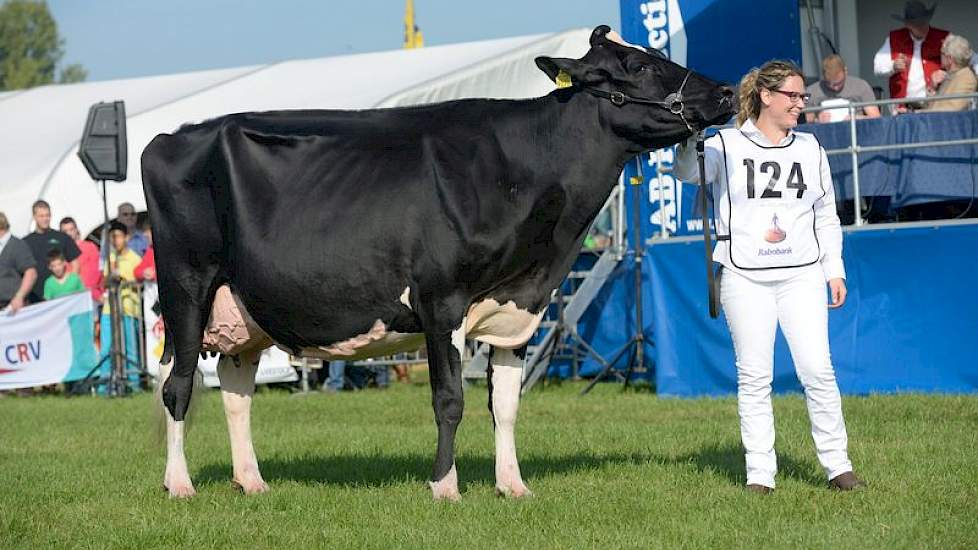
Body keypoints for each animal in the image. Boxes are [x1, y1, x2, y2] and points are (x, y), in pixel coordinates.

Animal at [143, 24, 732, 500]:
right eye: (639, 67)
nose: (726, 91)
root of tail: (173, 135)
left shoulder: (520, 307)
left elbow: (507, 404)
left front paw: (513, 486)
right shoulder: (441, 299)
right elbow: (450, 399)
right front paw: (445, 486)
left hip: (243, 305)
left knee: (235, 386)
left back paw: (252, 482)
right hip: (185, 284)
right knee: (177, 382)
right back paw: (179, 484)